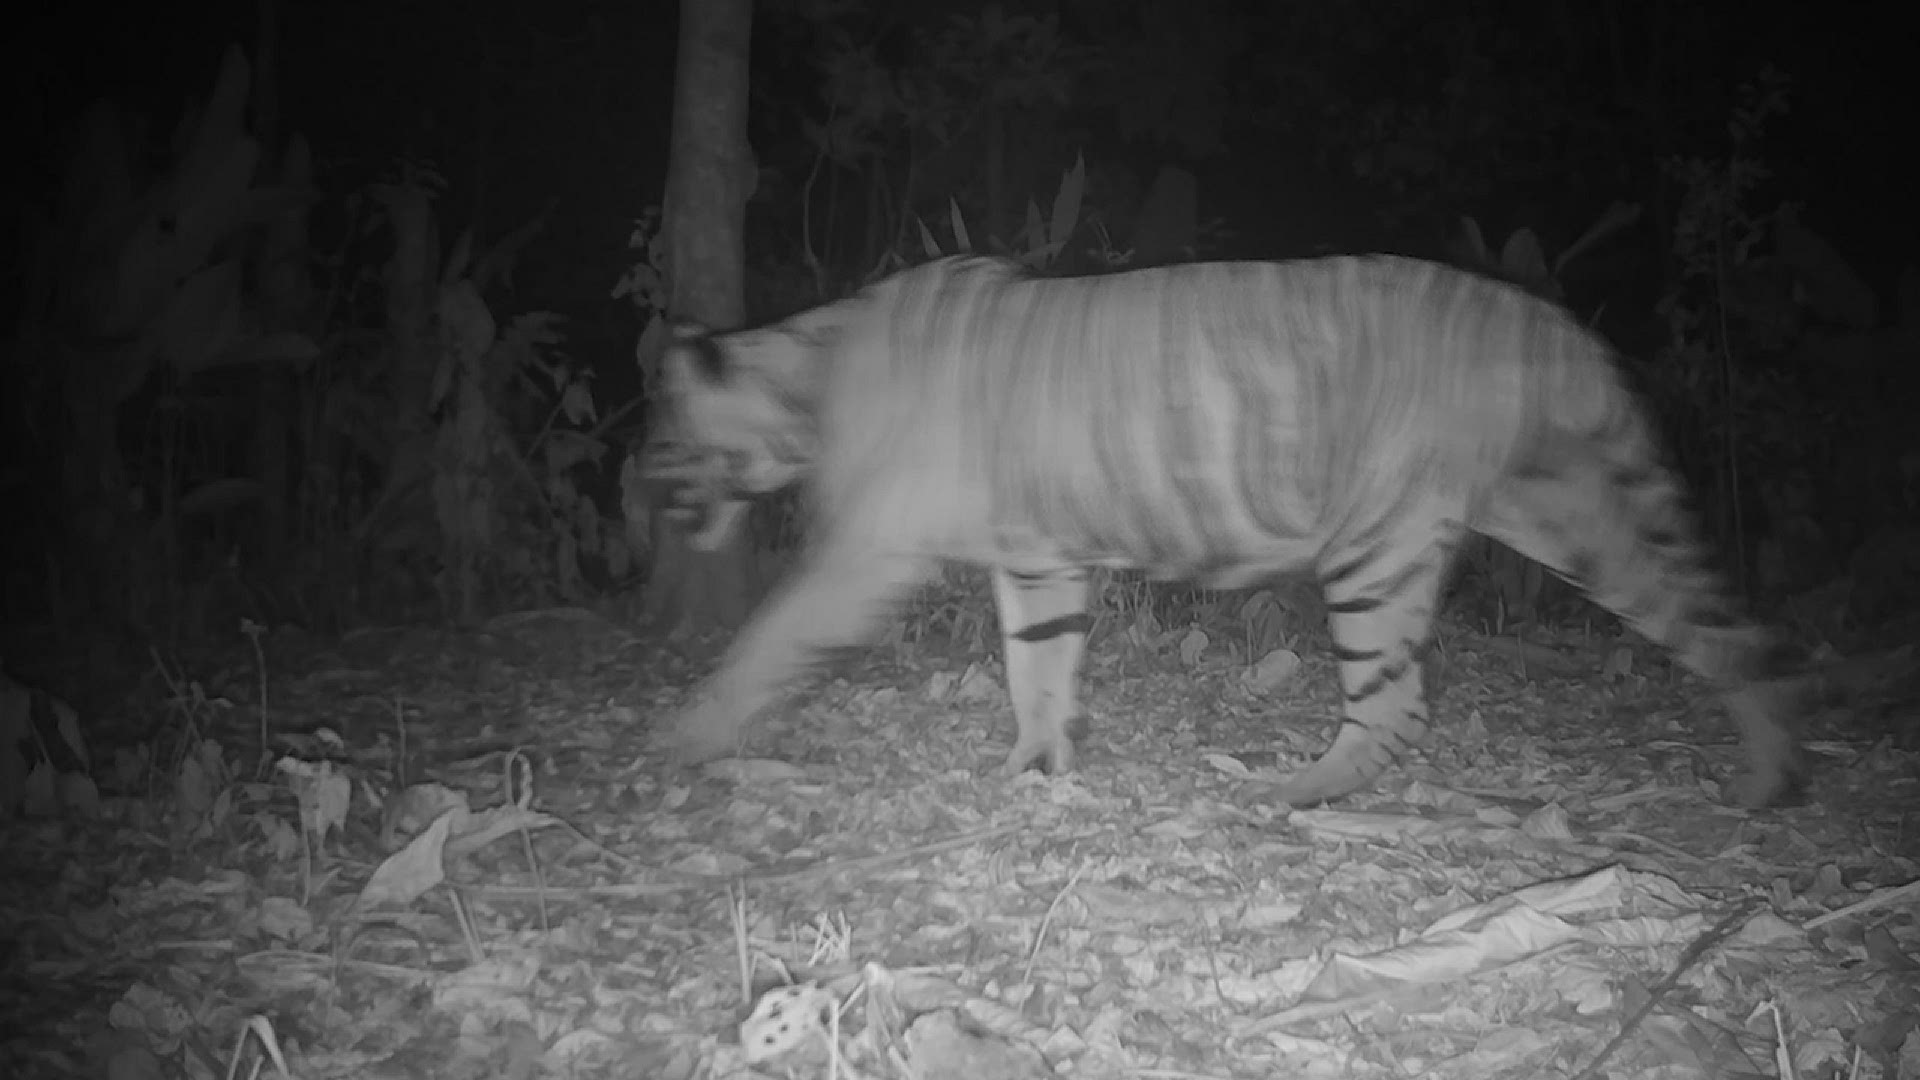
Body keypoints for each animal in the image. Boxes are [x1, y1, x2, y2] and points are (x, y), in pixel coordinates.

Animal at [637, 251, 1804, 803]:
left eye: (662, 437)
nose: (648, 492)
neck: (806, 377)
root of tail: (1550, 321)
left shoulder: (868, 549)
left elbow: (769, 636)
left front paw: (689, 736)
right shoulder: (1037, 559)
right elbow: (1036, 664)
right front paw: (1038, 765)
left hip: (1374, 545)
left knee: (1396, 705)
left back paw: (1292, 792)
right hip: (1571, 518)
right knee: (1720, 634)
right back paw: (1766, 776)